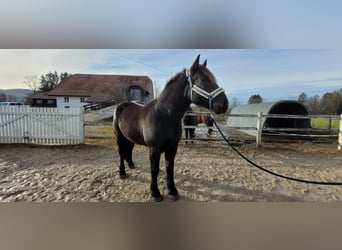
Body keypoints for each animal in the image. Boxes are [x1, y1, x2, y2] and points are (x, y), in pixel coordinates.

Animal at [113, 55, 228, 201]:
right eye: (203, 79)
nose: (224, 104)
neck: (165, 115)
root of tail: (121, 106)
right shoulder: (154, 149)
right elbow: (154, 170)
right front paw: (155, 193)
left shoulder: (172, 147)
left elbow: (170, 168)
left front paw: (172, 190)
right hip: (119, 137)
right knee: (121, 153)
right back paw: (122, 172)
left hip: (130, 137)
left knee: (129, 150)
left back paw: (131, 164)